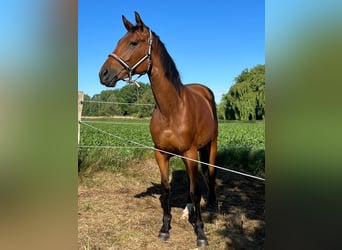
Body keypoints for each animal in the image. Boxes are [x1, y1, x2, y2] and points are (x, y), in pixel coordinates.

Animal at [99, 12, 218, 248]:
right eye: (118, 41)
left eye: (133, 43)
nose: (104, 74)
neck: (171, 110)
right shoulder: (161, 154)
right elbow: (166, 190)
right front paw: (165, 228)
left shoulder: (190, 153)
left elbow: (195, 189)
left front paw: (200, 233)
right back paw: (187, 211)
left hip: (210, 146)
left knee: (209, 173)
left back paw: (210, 204)